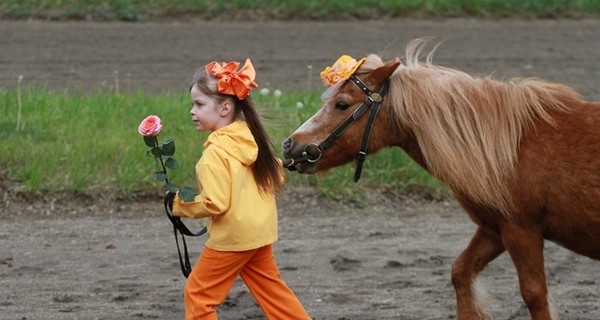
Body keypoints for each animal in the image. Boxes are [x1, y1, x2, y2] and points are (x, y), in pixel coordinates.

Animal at [282, 38, 600, 320]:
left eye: (342, 104)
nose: (290, 144)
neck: (511, 148)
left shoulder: (522, 232)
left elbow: (534, 295)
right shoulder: (494, 230)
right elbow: (460, 272)